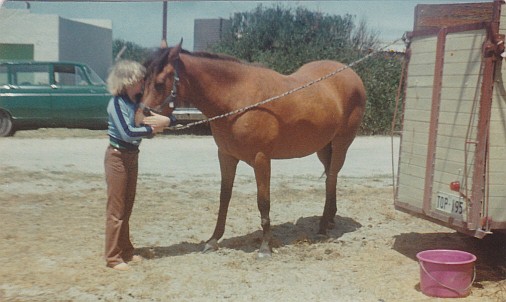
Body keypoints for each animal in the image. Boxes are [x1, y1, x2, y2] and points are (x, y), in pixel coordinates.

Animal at [140, 39, 366, 258]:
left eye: (159, 84)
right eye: (144, 81)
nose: (143, 122)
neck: (238, 99)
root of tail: (352, 75)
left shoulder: (261, 159)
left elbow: (263, 201)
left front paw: (265, 247)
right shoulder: (226, 156)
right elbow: (224, 197)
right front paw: (213, 240)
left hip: (341, 144)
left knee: (331, 178)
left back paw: (322, 227)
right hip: (323, 147)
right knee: (330, 178)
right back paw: (329, 219)